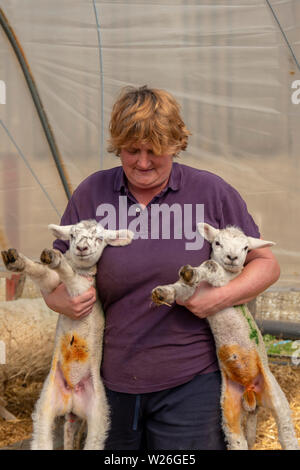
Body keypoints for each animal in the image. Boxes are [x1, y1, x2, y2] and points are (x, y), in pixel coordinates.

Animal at [0, 221, 132, 452]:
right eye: (71, 235)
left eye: (100, 238)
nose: (81, 248)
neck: (82, 270)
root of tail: (72, 400)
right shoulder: (54, 285)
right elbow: (42, 273)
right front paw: (18, 261)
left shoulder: (84, 290)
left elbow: (69, 275)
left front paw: (57, 260)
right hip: (45, 406)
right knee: (42, 439)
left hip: (98, 415)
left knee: (94, 440)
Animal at [152, 224, 300, 452]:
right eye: (217, 243)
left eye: (246, 248)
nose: (232, 257)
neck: (230, 274)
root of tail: (251, 393)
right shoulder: (189, 293)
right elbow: (180, 289)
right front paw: (164, 291)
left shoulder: (224, 281)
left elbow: (211, 265)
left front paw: (192, 272)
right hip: (229, 409)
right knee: (237, 440)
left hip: (277, 399)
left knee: (287, 435)